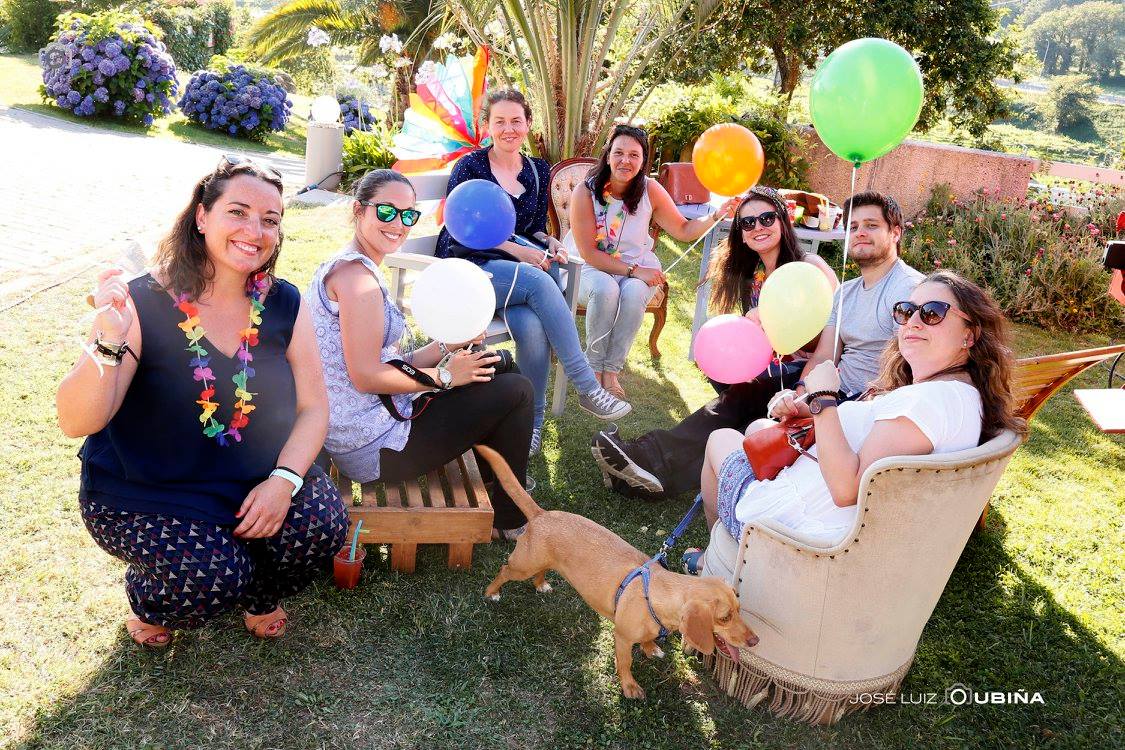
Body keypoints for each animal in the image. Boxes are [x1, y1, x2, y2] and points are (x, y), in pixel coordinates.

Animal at [474, 445, 758, 699]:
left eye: (739, 609)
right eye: (724, 617)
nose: (755, 641)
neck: (656, 594)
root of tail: (541, 514)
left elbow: (647, 642)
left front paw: (650, 648)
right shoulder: (621, 638)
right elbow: (625, 664)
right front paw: (629, 687)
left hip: (540, 563)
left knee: (541, 572)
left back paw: (540, 584)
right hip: (522, 566)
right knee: (504, 570)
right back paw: (492, 593)